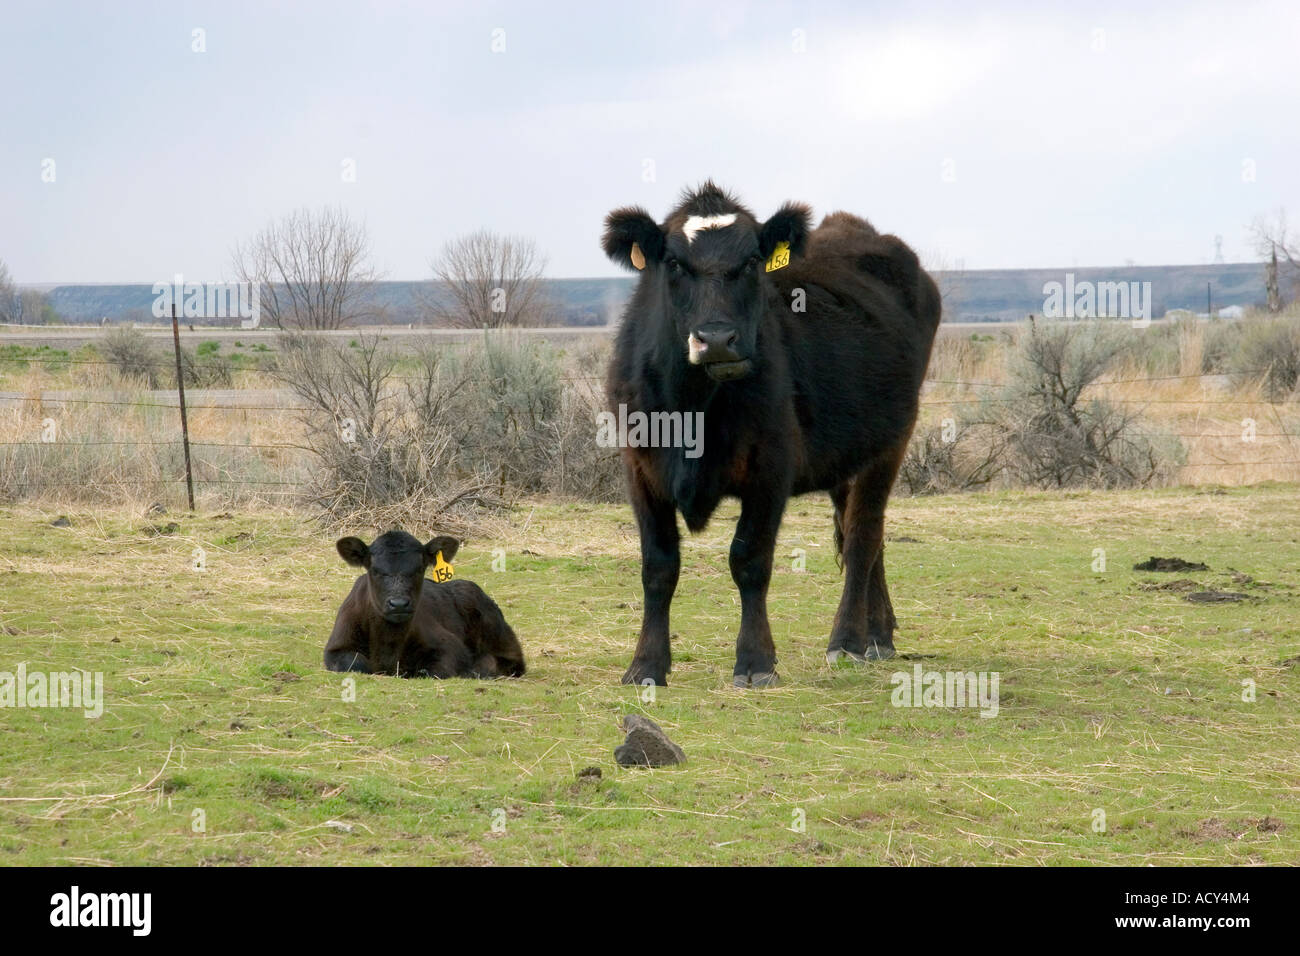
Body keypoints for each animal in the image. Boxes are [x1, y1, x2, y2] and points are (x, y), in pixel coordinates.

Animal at [324, 531, 525, 678]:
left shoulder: (451, 648)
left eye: (419, 569)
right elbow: (356, 663)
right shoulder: (335, 648)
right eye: (375, 570)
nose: (399, 604)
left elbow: (431, 670)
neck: (388, 643)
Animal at [602, 181, 941, 688]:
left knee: (863, 536)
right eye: (675, 263)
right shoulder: (640, 469)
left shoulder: (771, 469)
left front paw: (756, 662)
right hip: (851, 453)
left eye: (750, 263)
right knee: (865, 534)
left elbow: (750, 561)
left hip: (892, 442)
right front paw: (646, 665)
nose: (717, 340)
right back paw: (878, 634)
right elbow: (658, 566)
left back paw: (848, 640)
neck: (694, 406)